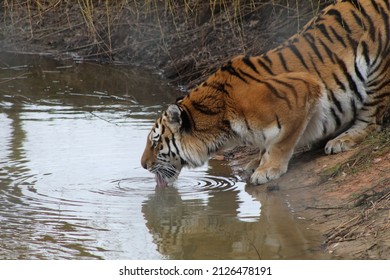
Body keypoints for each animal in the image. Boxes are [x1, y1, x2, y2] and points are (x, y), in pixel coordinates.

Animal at [142, 1, 390, 187]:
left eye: (155, 143)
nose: (143, 165)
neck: (221, 121)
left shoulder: (302, 90)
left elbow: (281, 141)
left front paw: (268, 170)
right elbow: (266, 143)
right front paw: (256, 162)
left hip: (377, 70)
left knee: (371, 121)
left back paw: (342, 140)